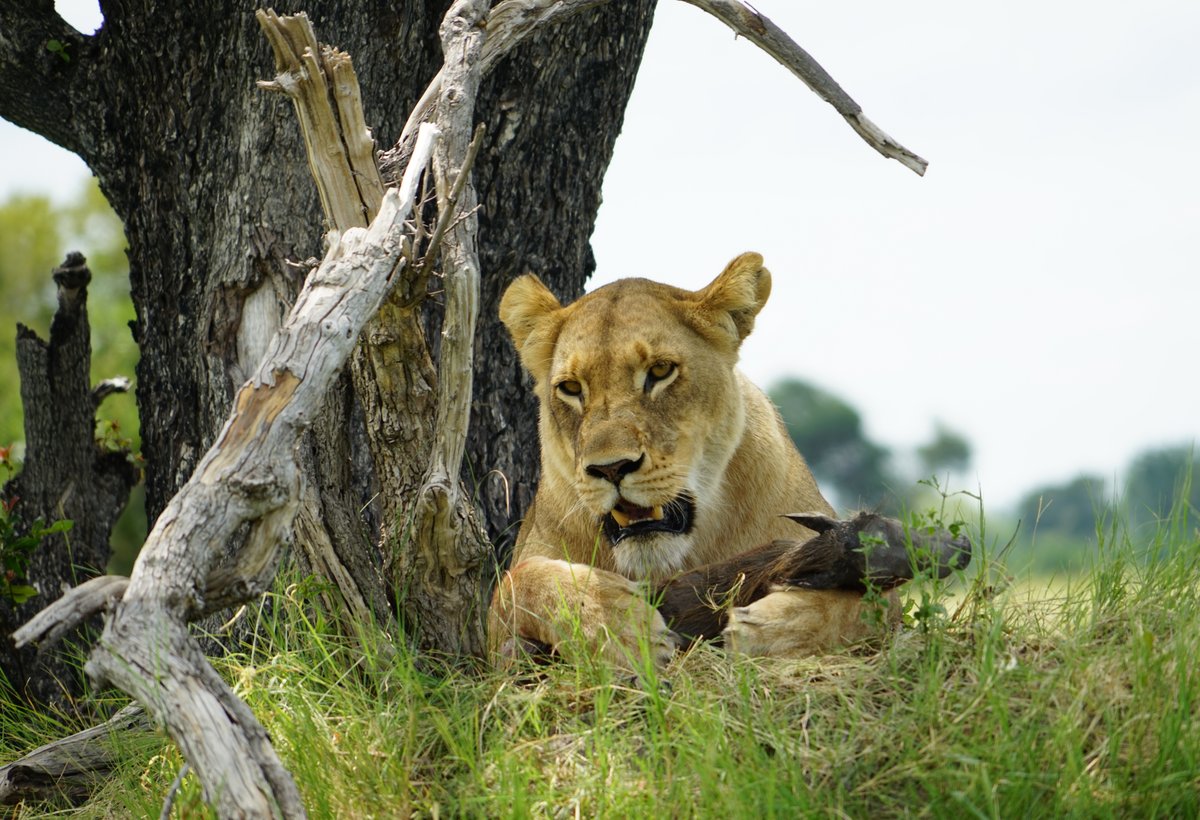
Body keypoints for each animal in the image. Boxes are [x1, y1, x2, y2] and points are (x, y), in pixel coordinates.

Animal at [488, 252, 966, 668]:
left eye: (660, 372)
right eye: (571, 388)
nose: (610, 468)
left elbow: (865, 602)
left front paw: (768, 629)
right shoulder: (491, 632)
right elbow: (516, 583)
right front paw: (619, 628)